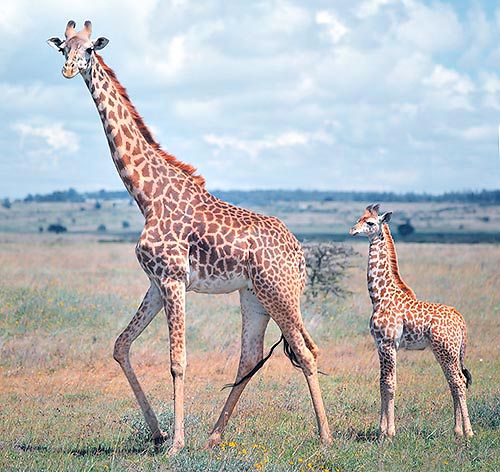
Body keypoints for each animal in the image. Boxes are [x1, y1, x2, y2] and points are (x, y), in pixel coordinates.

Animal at [47, 21, 332, 454]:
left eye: (90, 49)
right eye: (63, 47)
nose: (67, 69)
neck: (146, 196)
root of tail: (299, 254)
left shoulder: (173, 279)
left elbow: (177, 361)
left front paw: (176, 442)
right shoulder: (155, 282)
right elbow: (120, 345)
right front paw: (159, 432)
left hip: (280, 293)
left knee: (305, 352)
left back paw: (326, 436)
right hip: (254, 296)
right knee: (251, 355)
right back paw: (214, 435)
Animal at [348, 205, 472, 436]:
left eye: (370, 222)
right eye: (359, 218)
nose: (352, 230)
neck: (379, 296)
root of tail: (460, 320)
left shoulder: (388, 343)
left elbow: (389, 384)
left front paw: (389, 432)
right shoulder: (381, 345)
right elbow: (382, 383)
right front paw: (381, 430)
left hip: (447, 351)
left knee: (458, 382)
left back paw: (468, 432)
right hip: (445, 351)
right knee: (454, 382)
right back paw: (457, 430)